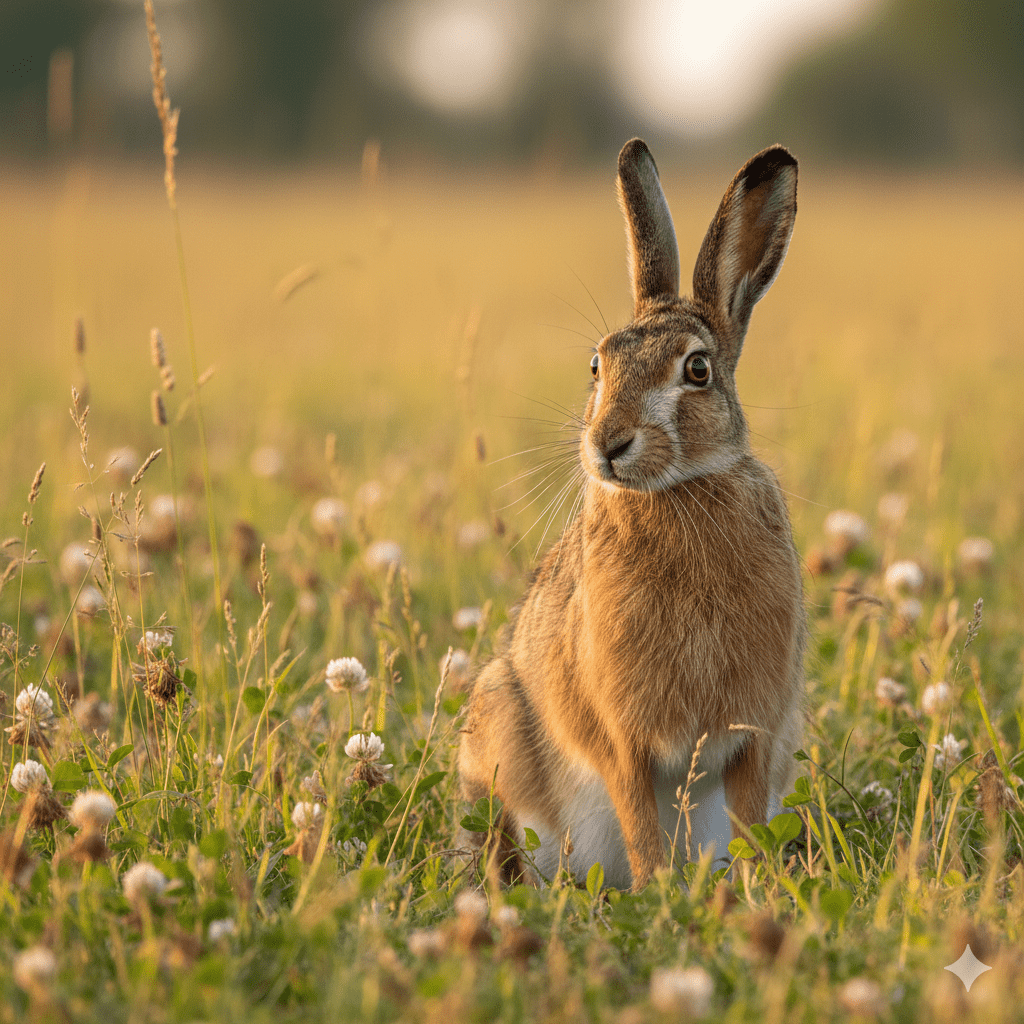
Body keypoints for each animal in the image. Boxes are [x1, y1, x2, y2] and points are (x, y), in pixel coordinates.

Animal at [458, 139, 805, 893]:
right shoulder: (624, 744)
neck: (677, 492)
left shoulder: (754, 739)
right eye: (597, 365)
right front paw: (659, 897)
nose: (607, 443)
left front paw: (752, 895)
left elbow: (750, 829)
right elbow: (643, 831)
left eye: (698, 370)